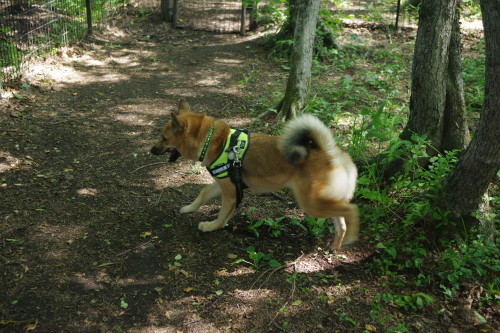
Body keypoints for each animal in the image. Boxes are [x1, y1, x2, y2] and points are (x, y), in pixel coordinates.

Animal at [149, 99, 360, 249]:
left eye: (164, 138)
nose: (151, 150)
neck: (214, 141)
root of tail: (330, 152)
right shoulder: (223, 184)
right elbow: (203, 194)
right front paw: (189, 208)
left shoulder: (229, 192)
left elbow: (221, 214)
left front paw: (212, 226)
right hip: (323, 201)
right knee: (341, 222)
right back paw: (335, 247)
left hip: (311, 203)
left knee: (352, 210)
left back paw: (351, 237)